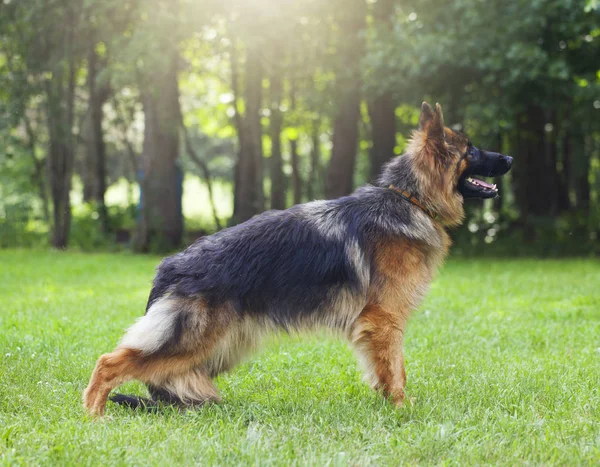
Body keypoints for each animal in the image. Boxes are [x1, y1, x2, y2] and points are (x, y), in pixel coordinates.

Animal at [82, 103, 510, 416]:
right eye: (471, 150)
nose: (509, 157)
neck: (410, 198)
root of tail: (169, 266)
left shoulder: (382, 325)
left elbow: (392, 368)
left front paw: (395, 404)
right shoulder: (384, 320)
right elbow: (395, 369)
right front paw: (402, 409)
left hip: (218, 349)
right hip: (192, 342)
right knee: (109, 361)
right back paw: (93, 416)